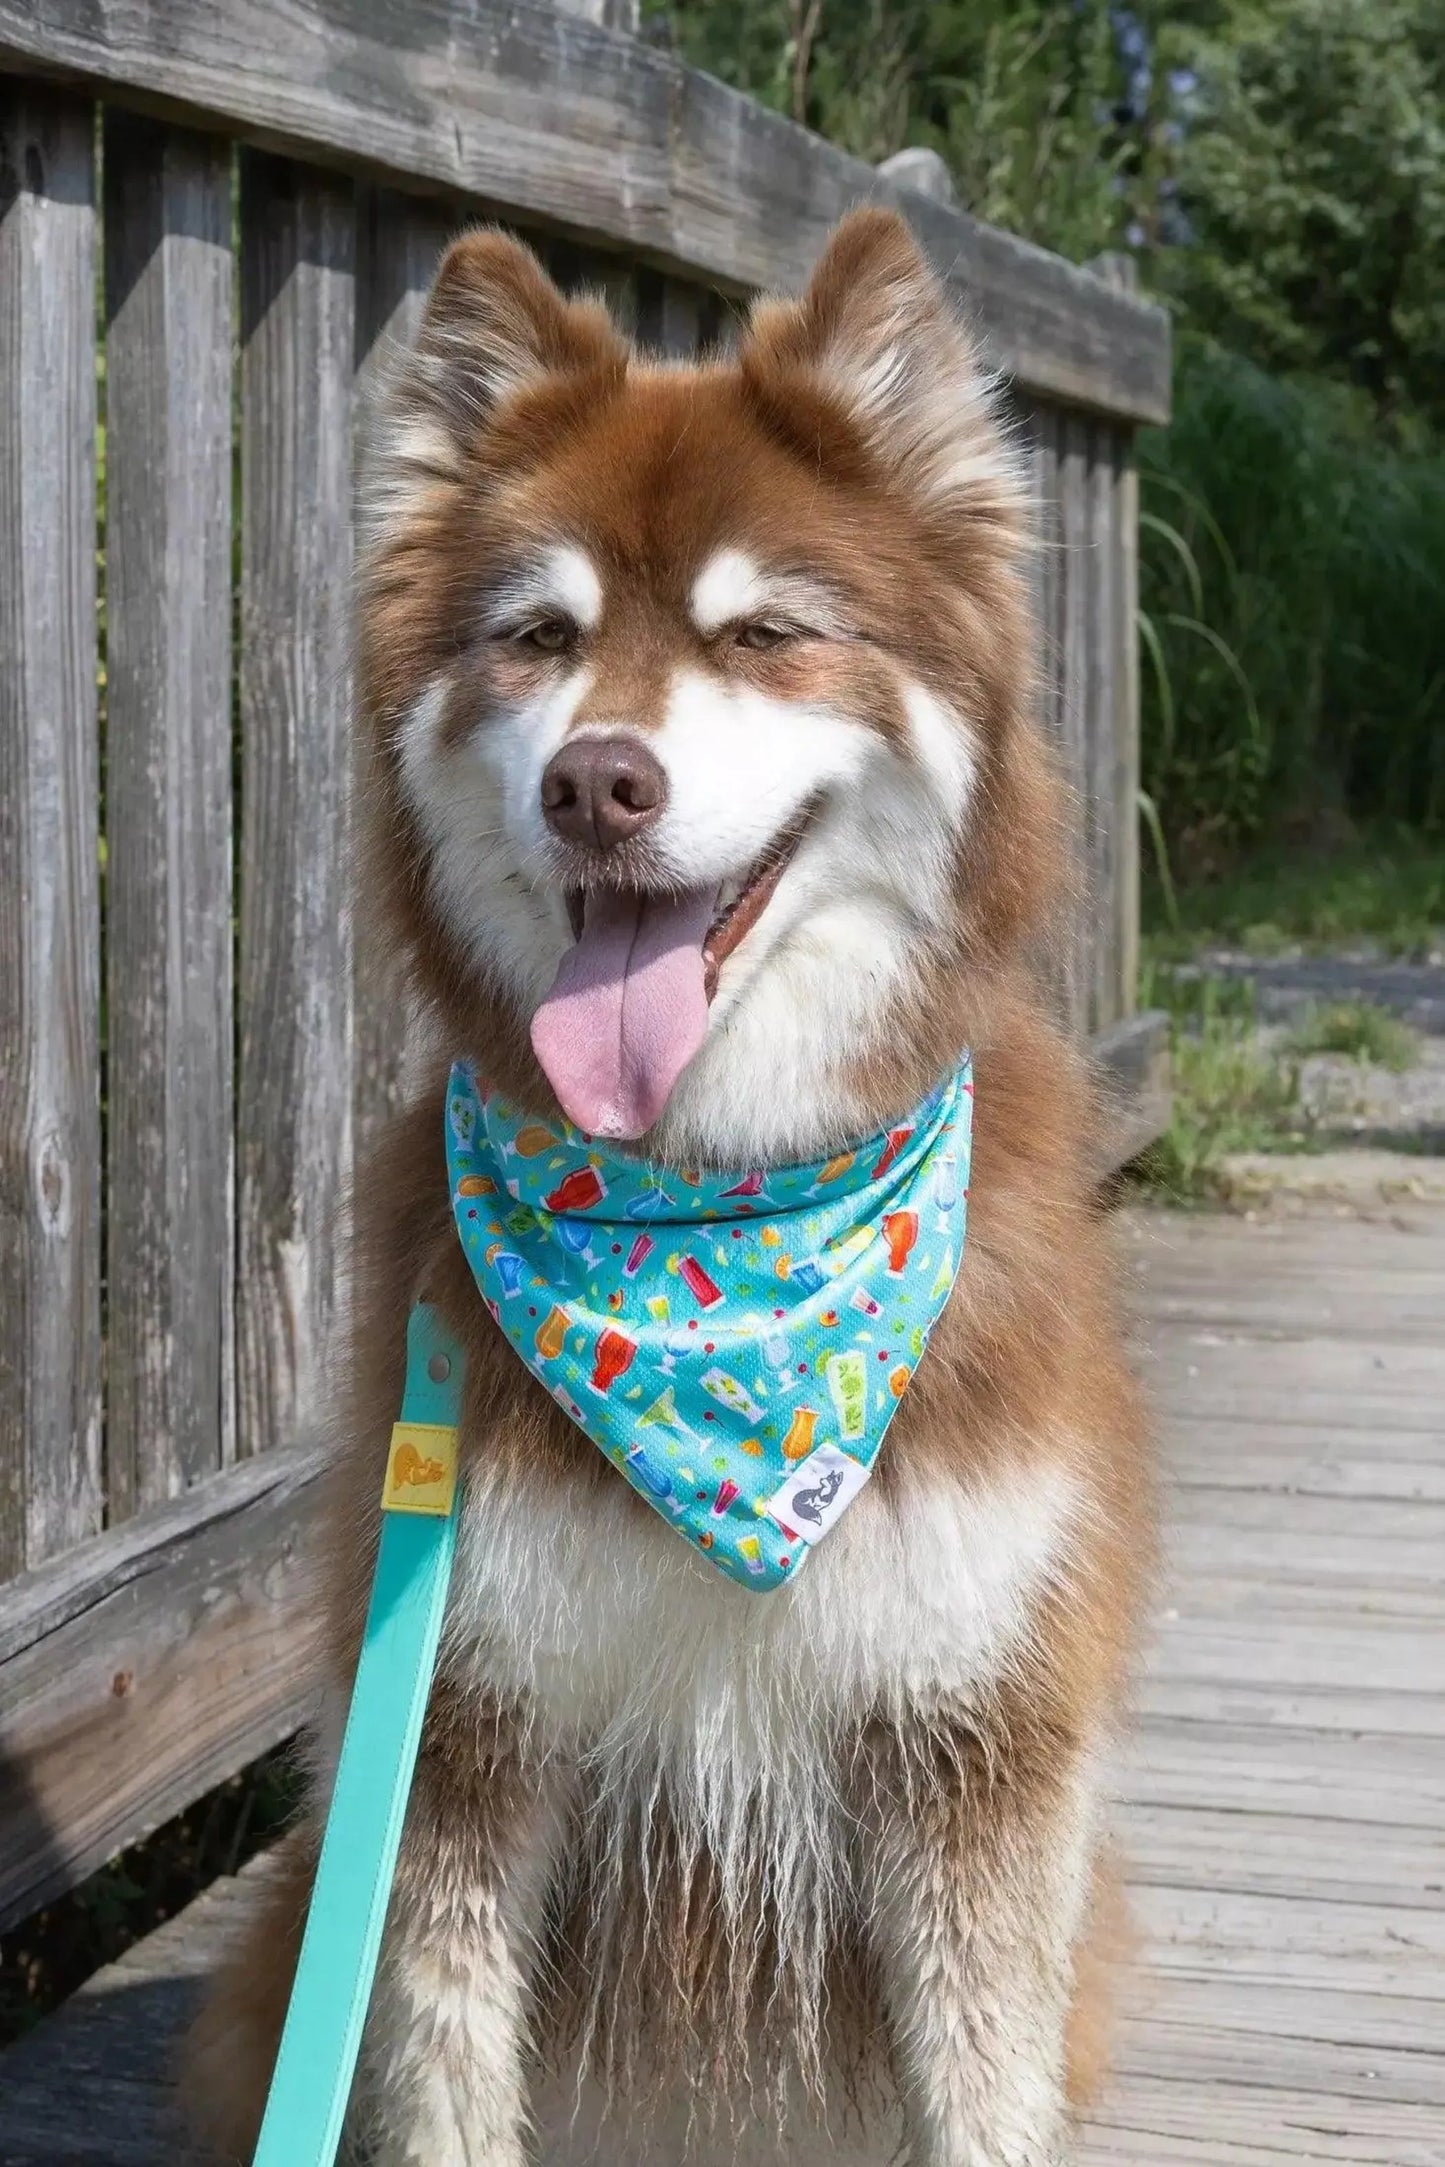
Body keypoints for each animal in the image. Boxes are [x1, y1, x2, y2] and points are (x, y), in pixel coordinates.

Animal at [189, 206, 1152, 2167]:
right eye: (538, 634)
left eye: (767, 632)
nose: (597, 783)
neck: (710, 1224)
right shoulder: (457, 1730)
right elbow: (447, 2080)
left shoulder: (976, 1733)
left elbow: (985, 2082)